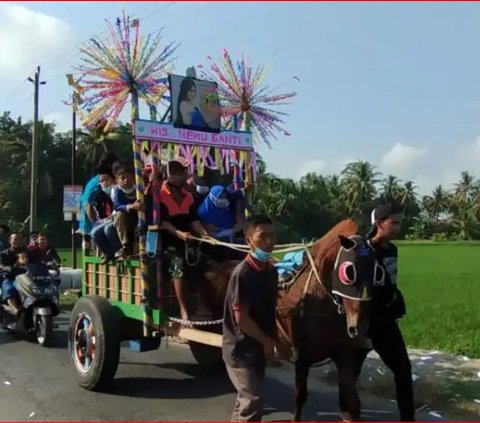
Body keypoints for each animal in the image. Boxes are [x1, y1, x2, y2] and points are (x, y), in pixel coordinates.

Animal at [198, 220, 382, 422]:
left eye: (377, 272)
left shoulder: (343, 355)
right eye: (348, 272)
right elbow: (300, 396)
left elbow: (351, 403)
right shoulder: (302, 356)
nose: (360, 327)